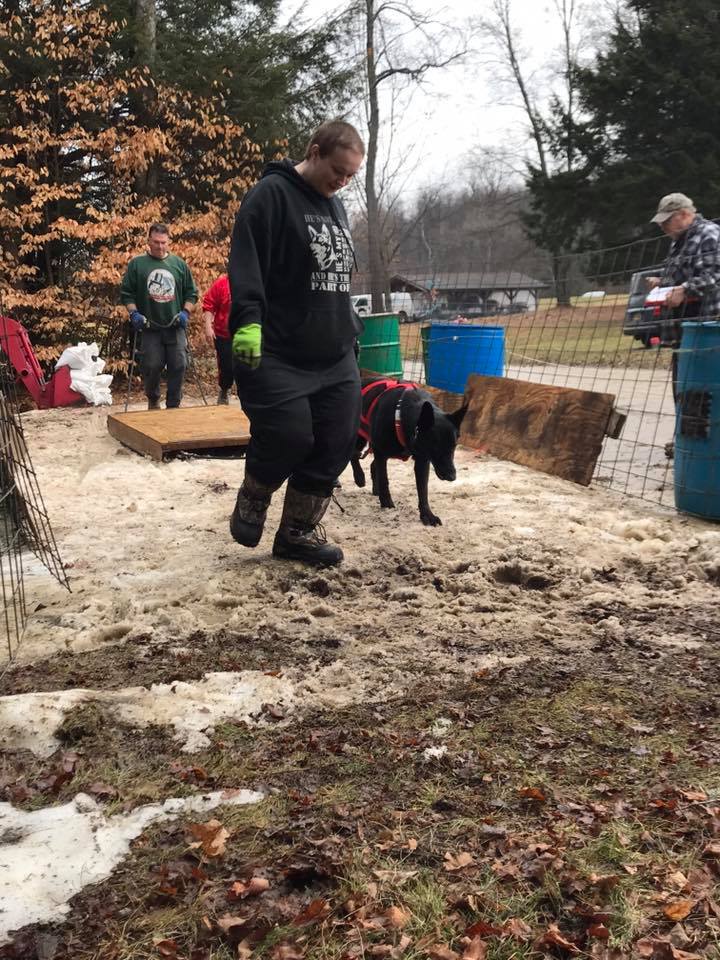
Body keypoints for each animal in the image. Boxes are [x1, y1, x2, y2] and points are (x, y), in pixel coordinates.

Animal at [348, 376, 466, 524]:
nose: (452, 476)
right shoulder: (380, 452)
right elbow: (384, 479)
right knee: (353, 454)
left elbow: (423, 489)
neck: (401, 416)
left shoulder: (422, 460)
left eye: (454, 445)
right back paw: (359, 477)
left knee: (372, 465)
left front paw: (427, 515)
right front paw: (386, 502)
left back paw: (375, 489)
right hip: (361, 436)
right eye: (436, 444)